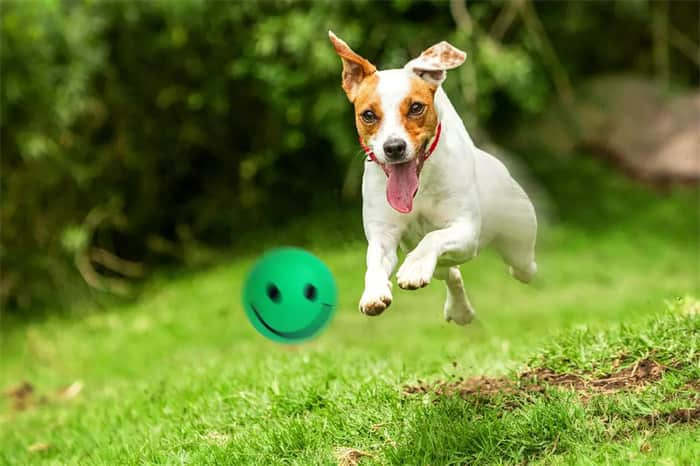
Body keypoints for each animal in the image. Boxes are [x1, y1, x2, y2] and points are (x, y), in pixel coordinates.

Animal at [330, 32, 540, 324]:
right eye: (368, 115)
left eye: (416, 107)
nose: (393, 147)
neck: (420, 187)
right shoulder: (383, 234)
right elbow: (374, 260)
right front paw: (374, 292)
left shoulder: (466, 230)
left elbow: (434, 237)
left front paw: (414, 267)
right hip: (443, 261)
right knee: (450, 273)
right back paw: (459, 309)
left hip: (519, 240)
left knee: (523, 266)